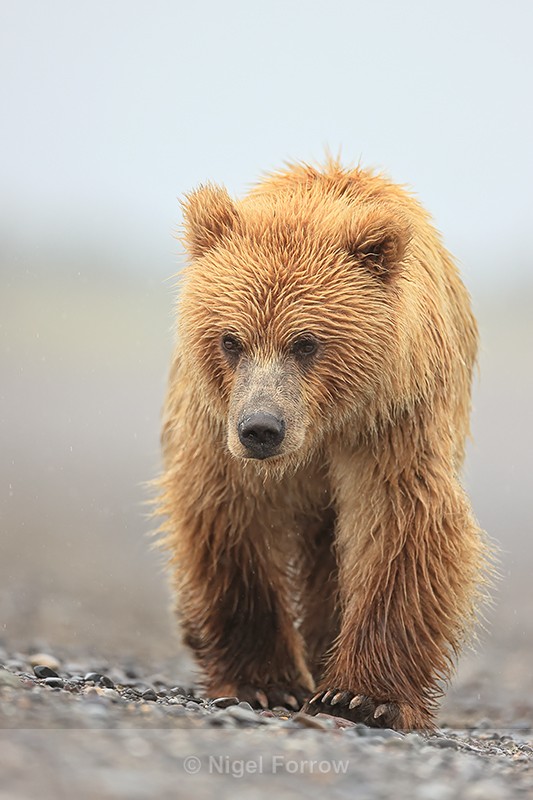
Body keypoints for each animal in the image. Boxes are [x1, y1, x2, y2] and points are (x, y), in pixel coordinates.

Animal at [156, 157, 489, 731]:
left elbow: (402, 524)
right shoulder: (216, 427)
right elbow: (230, 519)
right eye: (231, 340)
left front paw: (361, 697)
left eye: (307, 342)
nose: (261, 428)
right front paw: (265, 683)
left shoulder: (392, 420)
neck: (321, 428)